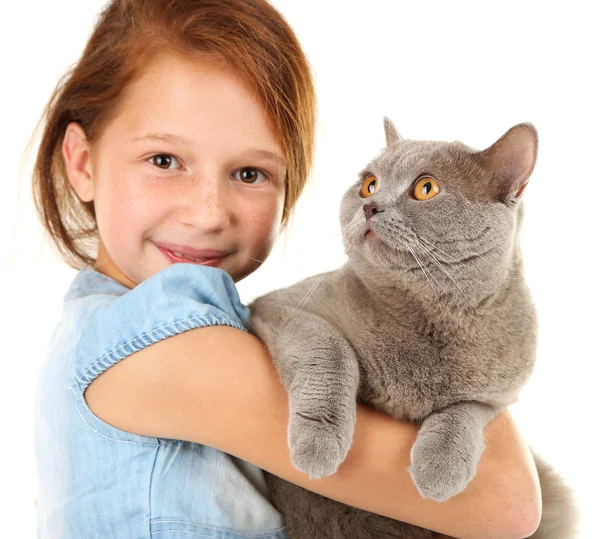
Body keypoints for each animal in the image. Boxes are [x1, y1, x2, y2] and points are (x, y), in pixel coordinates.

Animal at [247, 121, 576, 539]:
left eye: (426, 188)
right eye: (369, 184)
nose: (371, 205)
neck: (431, 313)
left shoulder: (499, 395)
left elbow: (466, 410)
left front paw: (440, 469)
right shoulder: (280, 307)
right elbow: (331, 350)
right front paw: (318, 441)